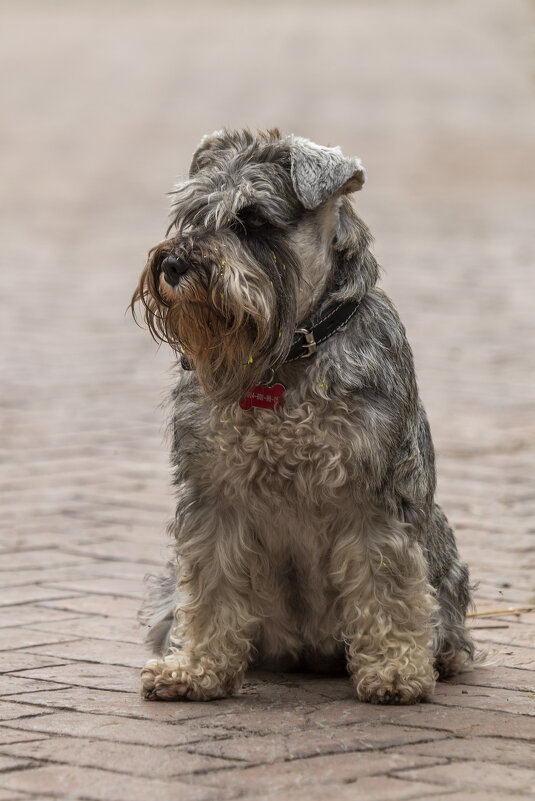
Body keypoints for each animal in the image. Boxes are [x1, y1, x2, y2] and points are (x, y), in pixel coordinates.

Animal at [132, 128, 476, 704]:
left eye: (253, 220)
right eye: (192, 214)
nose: (174, 265)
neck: (288, 356)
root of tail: (306, 653)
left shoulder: (374, 500)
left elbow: (387, 589)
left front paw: (395, 671)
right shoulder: (213, 499)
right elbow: (209, 588)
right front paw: (196, 669)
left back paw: (438, 656)